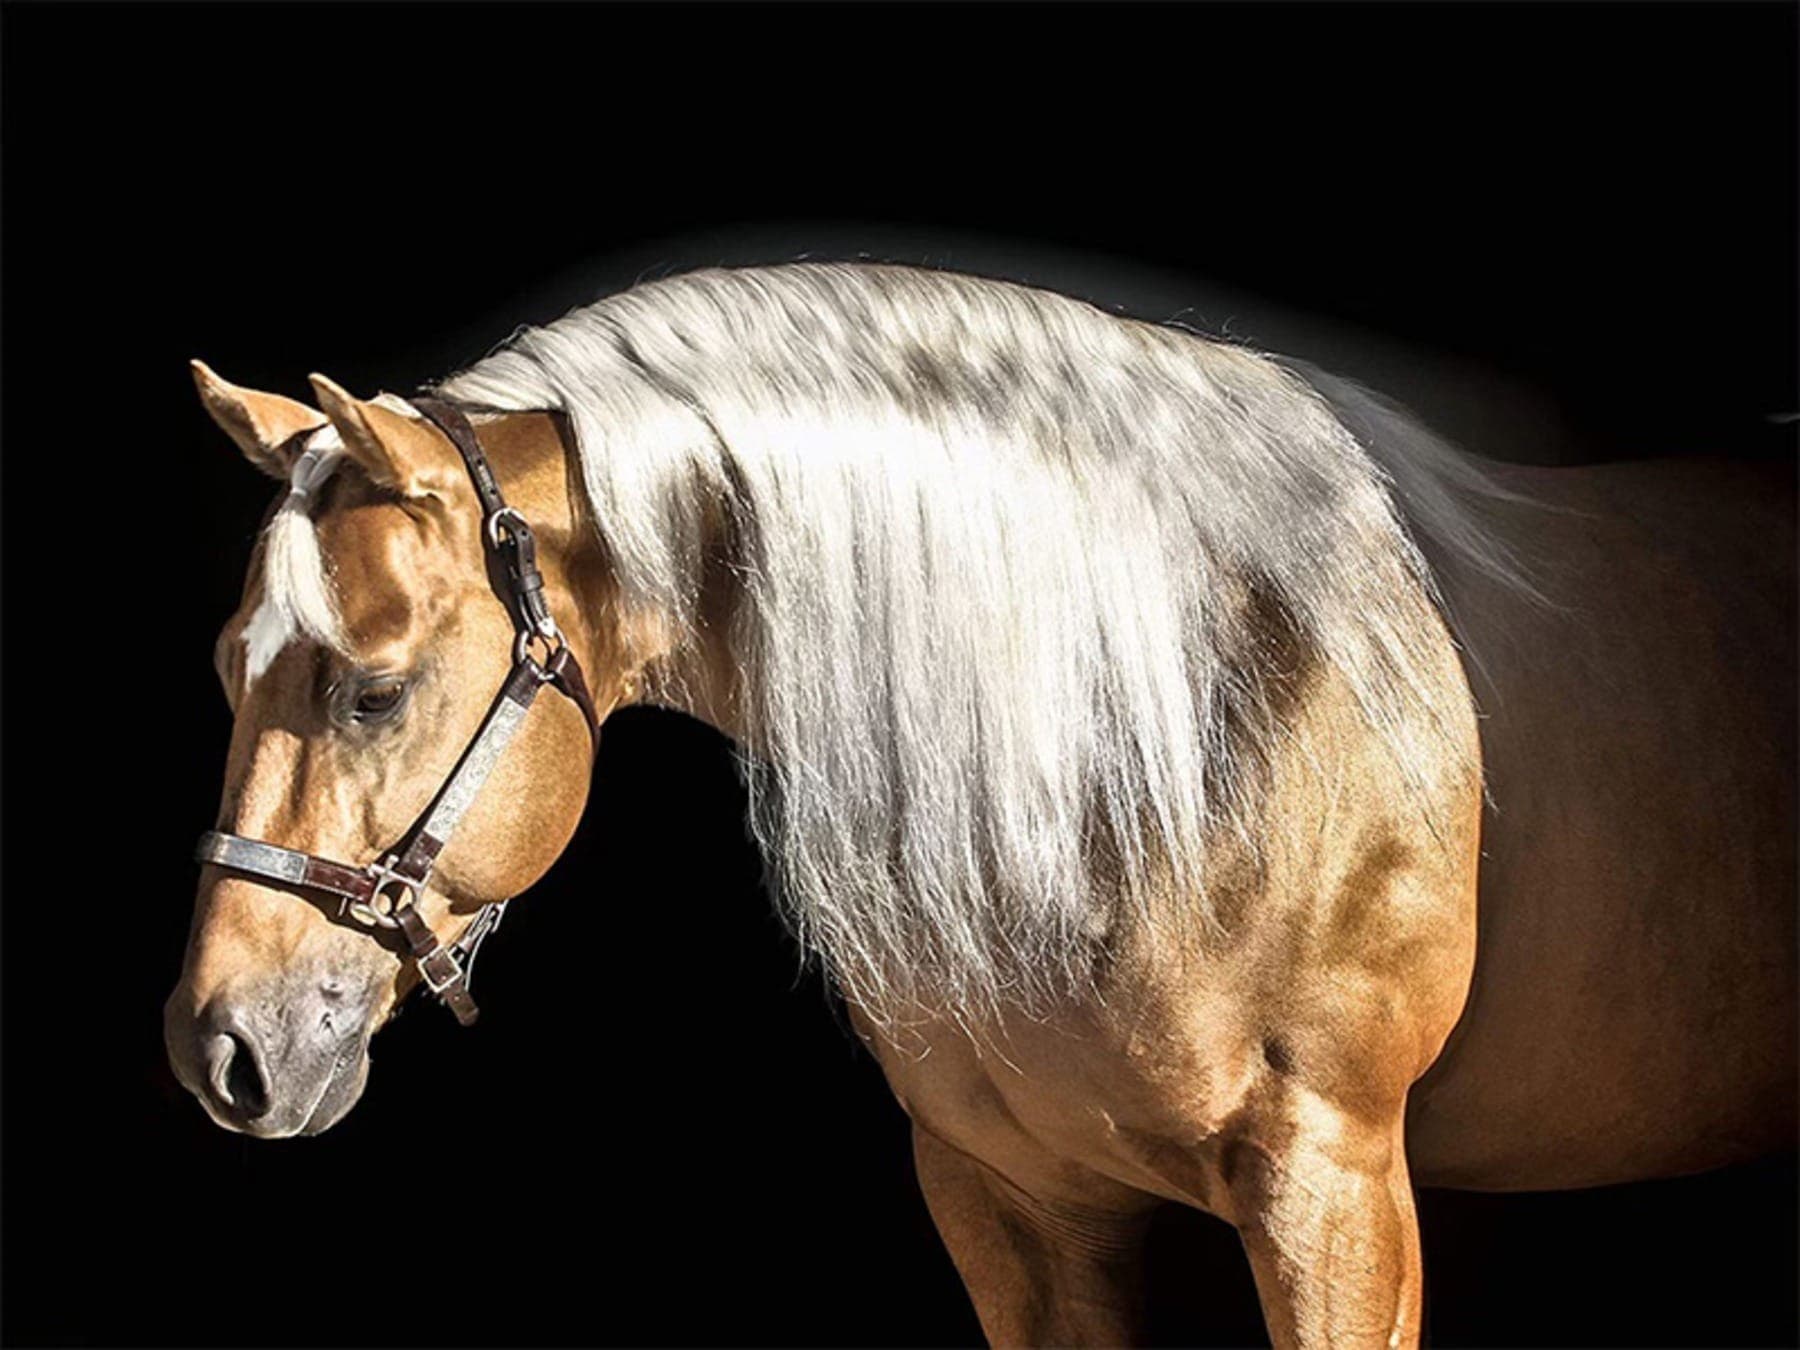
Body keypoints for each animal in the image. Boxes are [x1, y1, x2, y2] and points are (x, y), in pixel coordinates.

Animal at [164, 261, 1795, 1348]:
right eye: (230, 666)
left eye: (373, 690)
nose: (219, 1050)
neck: (1164, 733)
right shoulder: (1012, 1201)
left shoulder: (1336, 1192)